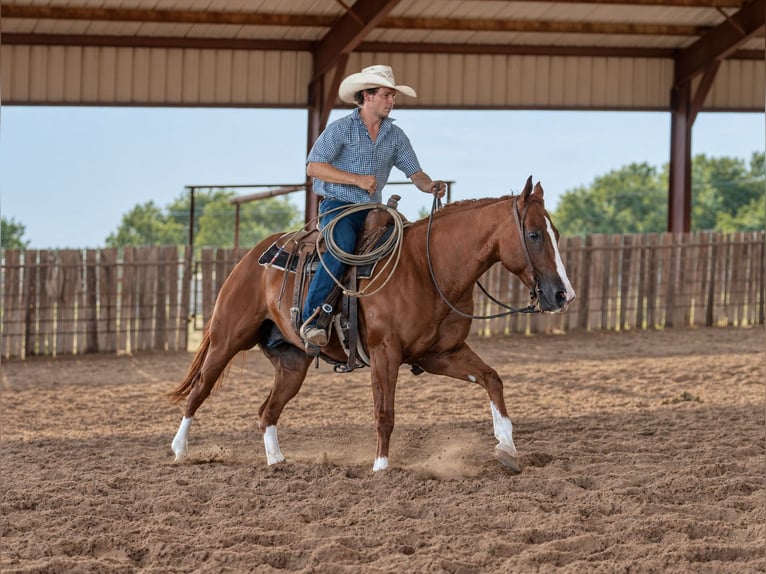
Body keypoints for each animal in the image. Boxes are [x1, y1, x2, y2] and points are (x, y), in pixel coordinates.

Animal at [169, 176, 576, 473]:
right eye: (534, 234)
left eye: (555, 234)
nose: (563, 295)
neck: (427, 267)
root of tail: (253, 256)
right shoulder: (385, 352)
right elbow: (385, 413)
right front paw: (381, 467)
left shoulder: (440, 354)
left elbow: (492, 379)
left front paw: (507, 448)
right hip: (227, 337)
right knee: (200, 389)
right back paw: (179, 449)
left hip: (292, 363)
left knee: (266, 410)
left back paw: (277, 461)